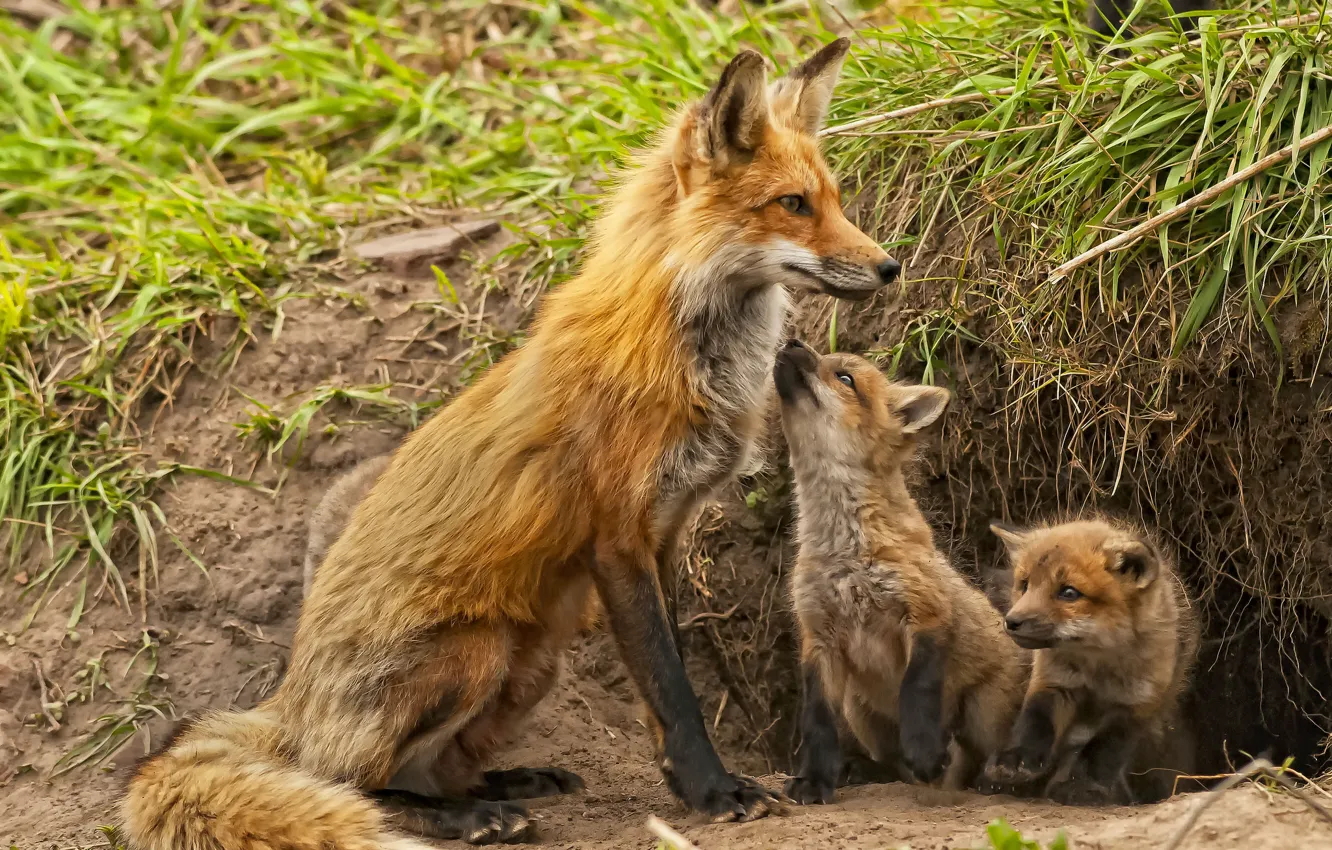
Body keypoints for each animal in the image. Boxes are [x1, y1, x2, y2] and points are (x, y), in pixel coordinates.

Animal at [122, 37, 902, 850]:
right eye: (793, 205)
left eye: (834, 199)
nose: (890, 266)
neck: (680, 349)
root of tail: (290, 702)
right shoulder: (616, 540)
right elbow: (674, 691)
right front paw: (714, 791)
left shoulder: (664, 533)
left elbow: (670, 682)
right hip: (476, 651)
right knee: (351, 781)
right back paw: (465, 815)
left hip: (531, 664)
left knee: (424, 769)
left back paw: (503, 784)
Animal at [775, 341, 1029, 805]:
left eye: (845, 378)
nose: (792, 342)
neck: (846, 552)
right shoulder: (818, 637)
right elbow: (817, 722)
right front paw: (815, 779)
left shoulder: (924, 613)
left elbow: (917, 691)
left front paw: (925, 751)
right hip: (860, 710)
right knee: (895, 768)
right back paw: (865, 770)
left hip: (982, 714)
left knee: (975, 761)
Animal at [979, 517, 1200, 806]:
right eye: (1025, 585)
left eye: (1068, 592)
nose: (1012, 622)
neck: (1097, 665)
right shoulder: (1054, 682)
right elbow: (1034, 723)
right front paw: (1015, 759)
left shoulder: (1139, 702)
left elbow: (1104, 749)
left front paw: (1085, 785)